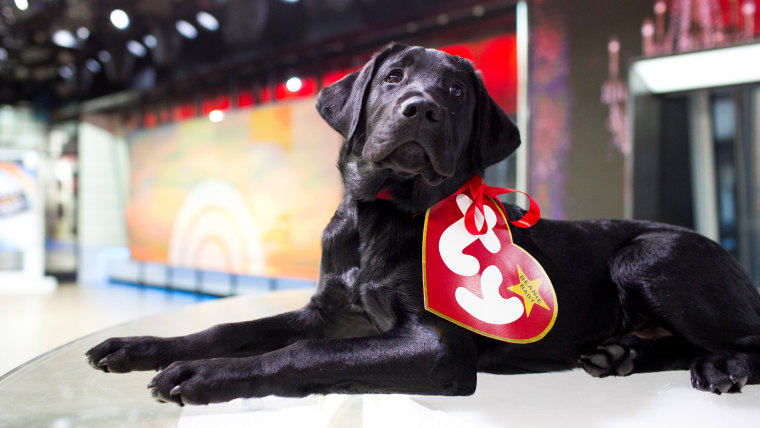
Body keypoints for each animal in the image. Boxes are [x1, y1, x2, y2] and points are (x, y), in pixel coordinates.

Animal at [86, 43, 760, 404]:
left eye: (458, 93)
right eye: (392, 77)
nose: (422, 109)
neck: (381, 215)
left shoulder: (437, 346)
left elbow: (304, 353)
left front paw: (206, 375)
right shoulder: (327, 311)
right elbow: (231, 326)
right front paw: (141, 347)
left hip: (647, 256)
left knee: (746, 338)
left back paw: (720, 367)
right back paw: (618, 354)